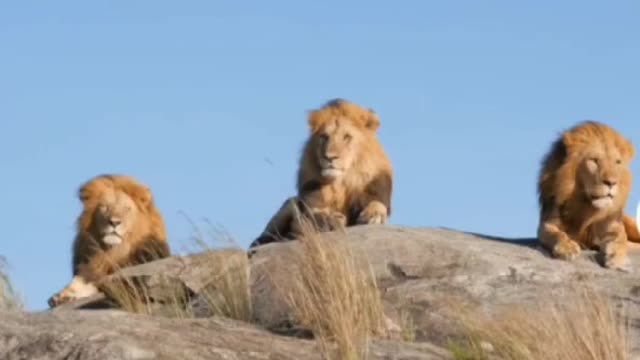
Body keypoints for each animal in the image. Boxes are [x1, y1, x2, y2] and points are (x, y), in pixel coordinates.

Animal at [251, 98, 392, 248]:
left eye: (347, 137)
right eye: (324, 136)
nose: (329, 157)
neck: (341, 184)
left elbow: (378, 204)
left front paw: (374, 215)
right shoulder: (309, 207)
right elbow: (313, 217)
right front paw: (331, 219)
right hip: (290, 203)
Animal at [536, 121, 640, 270]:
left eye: (617, 162)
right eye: (594, 160)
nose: (611, 182)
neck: (587, 206)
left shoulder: (612, 224)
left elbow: (619, 240)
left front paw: (618, 259)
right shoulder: (548, 223)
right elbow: (555, 234)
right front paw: (567, 247)